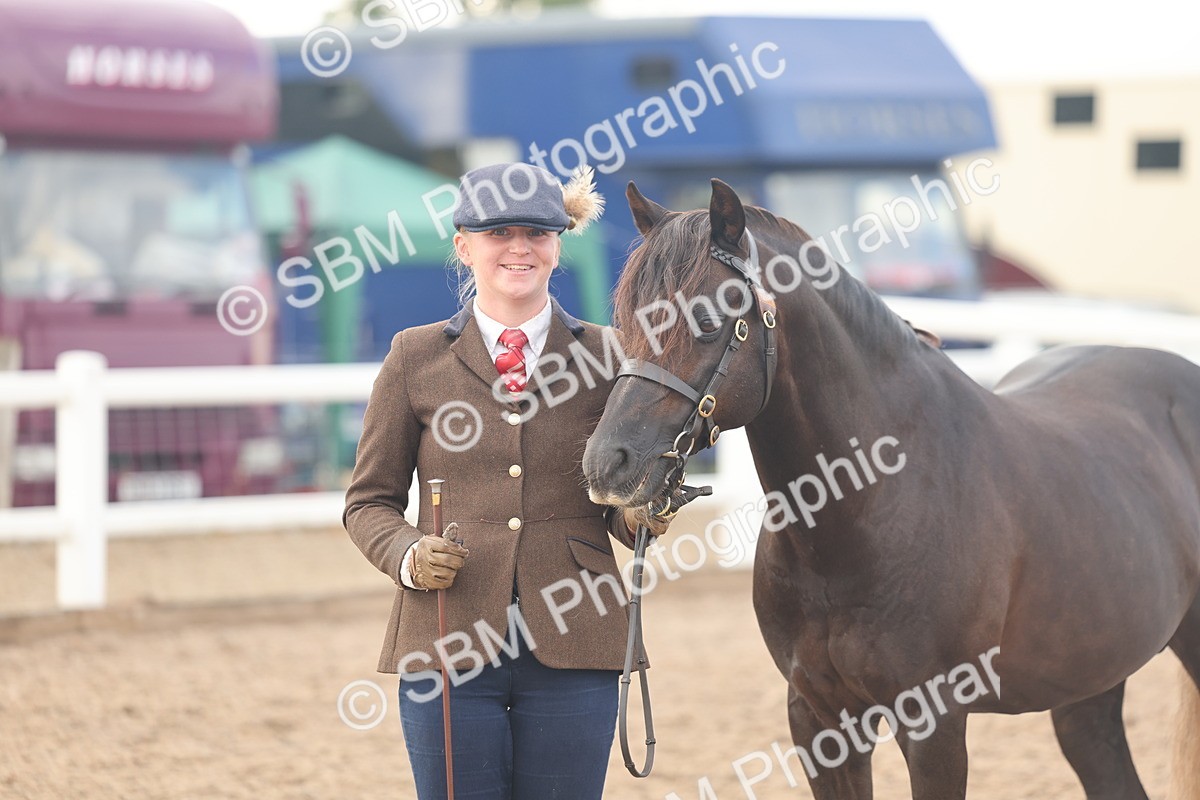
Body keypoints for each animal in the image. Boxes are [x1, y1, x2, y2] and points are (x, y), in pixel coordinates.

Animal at [581, 178, 1200, 799]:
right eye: (625, 320)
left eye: (708, 319)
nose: (607, 464)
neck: (866, 511)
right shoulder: (819, 718)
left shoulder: (934, 725)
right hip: (1087, 685)